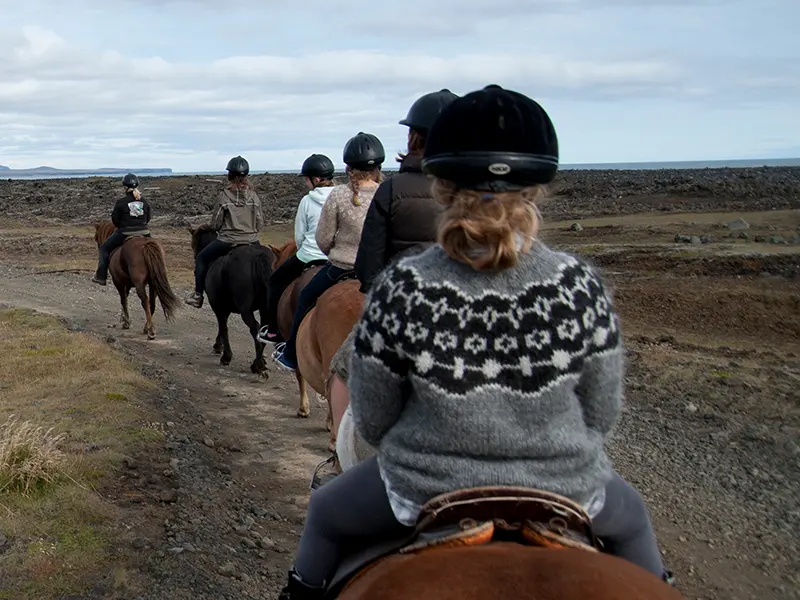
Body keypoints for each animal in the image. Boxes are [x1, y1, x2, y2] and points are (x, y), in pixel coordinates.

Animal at [189, 224, 276, 376]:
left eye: (194, 244)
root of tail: (258, 257)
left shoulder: (217, 304)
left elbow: (223, 326)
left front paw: (225, 356)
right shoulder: (225, 306)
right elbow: (223, 325)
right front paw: (219, 347)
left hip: (245, 310)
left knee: (255, 328)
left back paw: (257, 365)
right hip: (265, 309)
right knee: (263, 331)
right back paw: (260, 362)